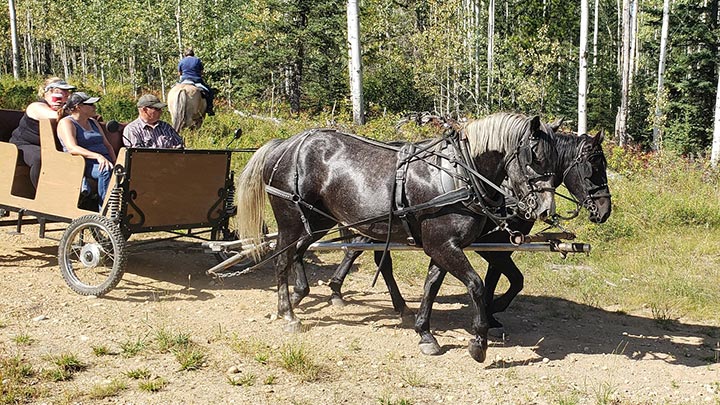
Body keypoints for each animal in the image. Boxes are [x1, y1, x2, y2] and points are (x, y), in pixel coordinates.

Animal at [235, 112, 560, 362]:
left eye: (555, 162)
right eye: (533, 158)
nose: (545, 209)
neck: (459, 175)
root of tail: (285, 146)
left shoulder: (441, 247)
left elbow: (431, 287)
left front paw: (425, 333)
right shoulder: (444, 246)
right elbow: (477, 286)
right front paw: (478, 342)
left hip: (316, 222)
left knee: (299, 252)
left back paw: (301, 294)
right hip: (292, 221)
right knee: (282, 261)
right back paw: (289, 313)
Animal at [321, 128, 612, 354]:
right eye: (594, 168)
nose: (605, 210)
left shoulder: (491, 246)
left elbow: (497, 281)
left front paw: (489, 315)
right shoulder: (491, 248)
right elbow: (510, 280)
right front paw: (491, 313)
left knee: (369, 255)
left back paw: (390, 303)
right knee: (355, 251)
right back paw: (337, 291)